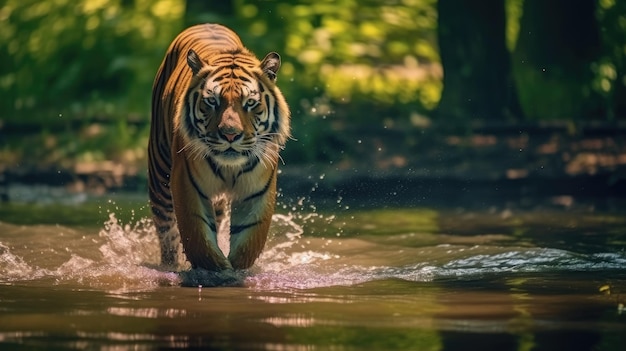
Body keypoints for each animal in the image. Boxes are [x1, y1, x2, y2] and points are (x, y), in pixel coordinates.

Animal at [148, 24, 290, 272]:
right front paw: (217, 269)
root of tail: (206, 24)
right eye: (212, 101)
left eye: (250, 103)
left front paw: (236, 270)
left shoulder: (257, 192)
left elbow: (247, 243)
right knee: (166, 233)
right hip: (159, 177)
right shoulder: (188, 185)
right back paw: (169, 266)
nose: (230, 134)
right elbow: (199, 240)